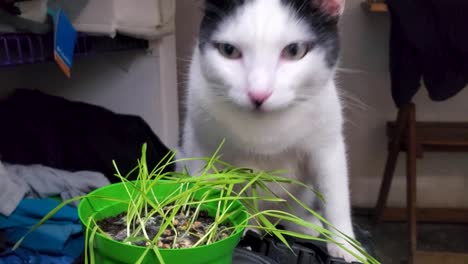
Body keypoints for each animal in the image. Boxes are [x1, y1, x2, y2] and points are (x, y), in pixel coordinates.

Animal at [179, 0, 358, 260]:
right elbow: (209, 189)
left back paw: (303, 225)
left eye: (294, 51)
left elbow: (335, 198)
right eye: (228, 50)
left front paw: (346, 247)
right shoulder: (204, 148)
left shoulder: (327, 147)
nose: (258, 94)